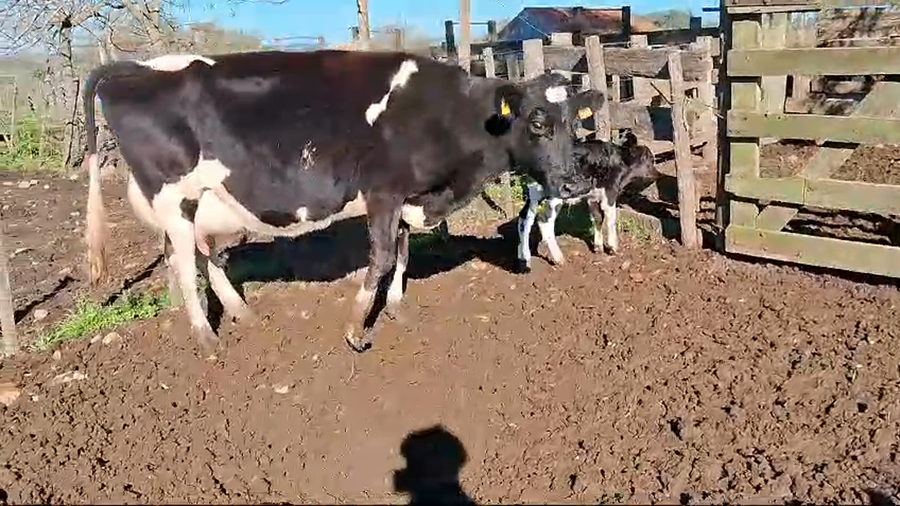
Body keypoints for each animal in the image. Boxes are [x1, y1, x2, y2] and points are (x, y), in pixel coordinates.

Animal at [82, 50, 605, 354]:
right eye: (537, 121)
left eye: (574, 121)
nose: (575, 183)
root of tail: (136, 66)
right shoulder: (383, 192)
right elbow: (382, 258)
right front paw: (356, 328)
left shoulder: (407, 197)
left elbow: (404, 253)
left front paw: (396, 309)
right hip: (172, 195)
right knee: (184, 261)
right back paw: (206, 339)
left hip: (201, 200)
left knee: (198, 253)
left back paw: (240, 314)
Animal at [514, 131, 659, 273]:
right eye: (650, 160)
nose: (657, 174)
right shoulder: (610, 192)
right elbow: (611, 218)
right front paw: (613, 247)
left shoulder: (592, 197)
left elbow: (597, 218)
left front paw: (598, 248)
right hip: (555, 196)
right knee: (543, 220)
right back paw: (558, 259)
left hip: (534, 194)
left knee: (524, 218)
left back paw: (524, 261)